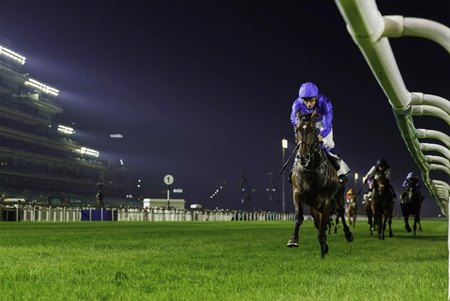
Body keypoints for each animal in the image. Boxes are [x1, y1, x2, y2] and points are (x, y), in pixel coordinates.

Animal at [286, 111, 354, 256]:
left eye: (313, 130)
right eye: (296, 130)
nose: (303, 156)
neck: (311, 170)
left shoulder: (326, 199)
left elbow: (324, 224)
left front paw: (324, 248)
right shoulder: (298, 193)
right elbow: (300, 217)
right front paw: (293, 240)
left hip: (339, 196)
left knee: (341, 212)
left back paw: (348, 234)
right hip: (313, 204)